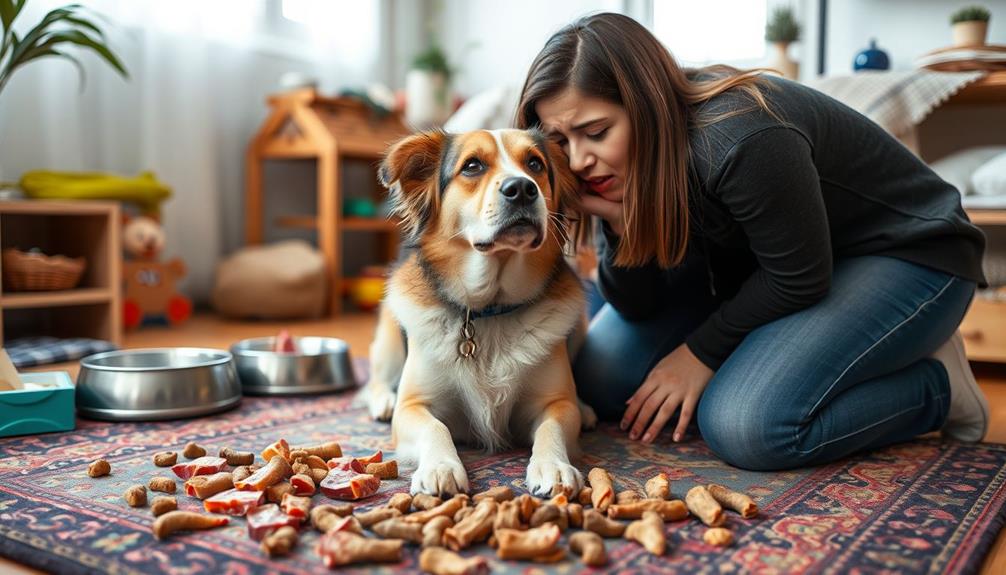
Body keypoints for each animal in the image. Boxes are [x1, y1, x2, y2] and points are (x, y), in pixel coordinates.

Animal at [364, 128, 591, 496]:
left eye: (535, 164)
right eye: (472, 165)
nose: (522, 188)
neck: (490, 309)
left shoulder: (554, 404)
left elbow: (552, 427)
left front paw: (553, 466)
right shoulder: (413, 407)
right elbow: (435, 427)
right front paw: (441, 466)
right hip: (389, 340)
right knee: (376, 380)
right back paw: (383, 400)